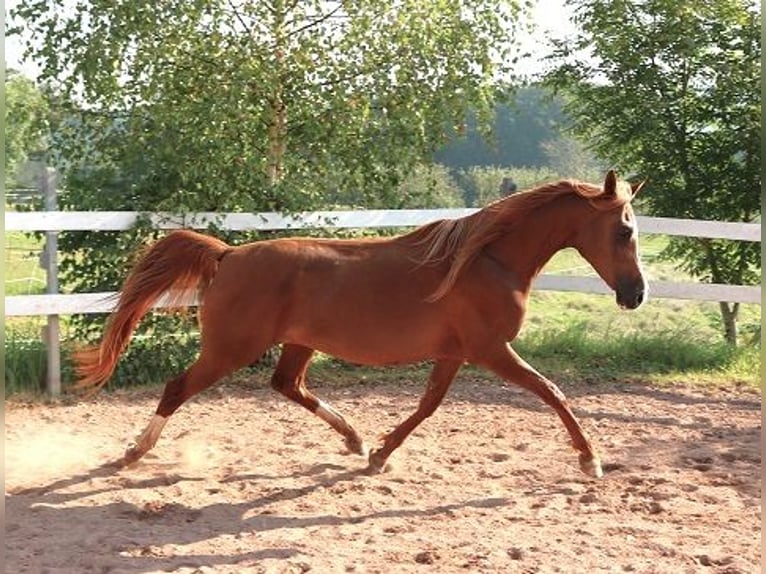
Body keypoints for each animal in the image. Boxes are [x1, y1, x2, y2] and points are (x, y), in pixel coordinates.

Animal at [75, 170, 648, 476]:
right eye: (624, 232)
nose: (636, 294)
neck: (489, 260)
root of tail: (228, 255)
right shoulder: (490, 350)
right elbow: (554, 393)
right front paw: (591, 461)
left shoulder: (455, 353)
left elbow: (427, 406)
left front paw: (378, 455)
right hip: (229, 349)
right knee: (178, 388)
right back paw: (134, 451)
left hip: (297, 344)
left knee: (288, 385)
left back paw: (353, 438)